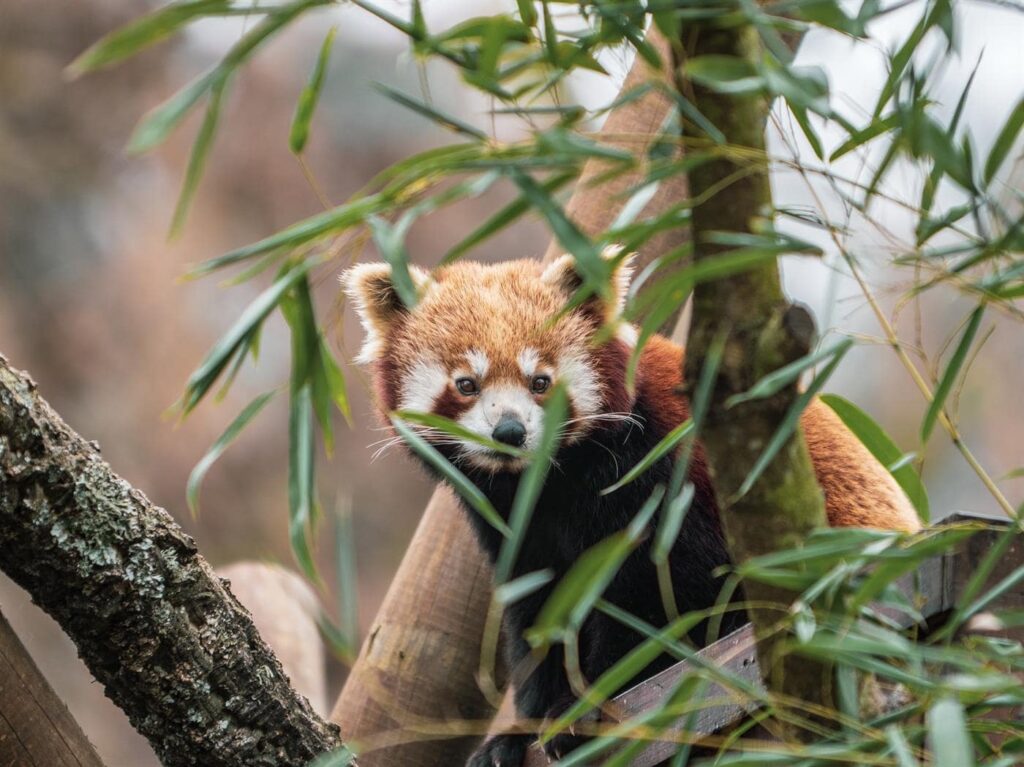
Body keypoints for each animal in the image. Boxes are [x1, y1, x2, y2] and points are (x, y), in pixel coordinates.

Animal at [342, 250, 921, 765]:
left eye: (540, 381)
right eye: (466, 384)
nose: (509, 431)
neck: (551, 483)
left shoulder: (662, 471)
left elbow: (665, 594)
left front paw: (583, 702)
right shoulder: (518, 526)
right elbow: (539, 612)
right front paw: (515, 735)